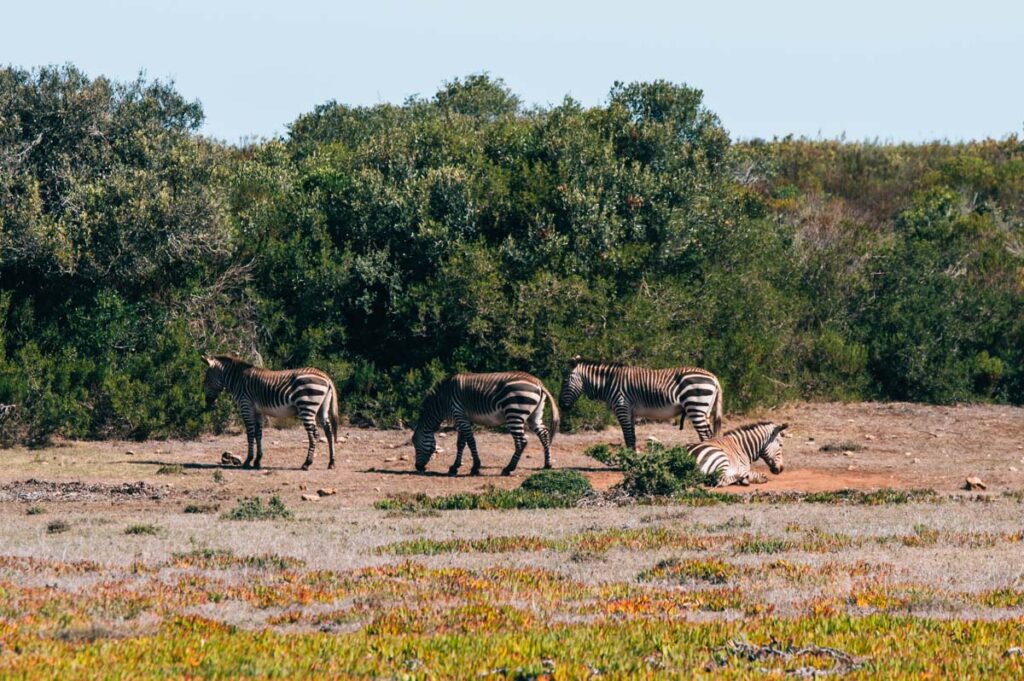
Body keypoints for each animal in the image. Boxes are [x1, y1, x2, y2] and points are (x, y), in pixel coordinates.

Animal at [201, 354, 340, 470]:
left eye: (207, 379)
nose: (208, 401)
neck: (239, 379)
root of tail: (326, 376)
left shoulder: (246, 407)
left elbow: (250, 434)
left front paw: (248, 461)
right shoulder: (258, 411)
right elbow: (258, 434)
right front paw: (258, 461)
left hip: (307, 406)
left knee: (314, 434)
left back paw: (307, 463)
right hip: (322, 408)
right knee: (328, 431)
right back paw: (331, 462)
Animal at [412, 372, 560, 476]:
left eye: (415, 443)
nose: (418, 467)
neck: (444, 399)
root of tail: (539, 383)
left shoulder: (459, 414)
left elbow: (471, 442)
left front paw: (475, 467)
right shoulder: (463, 418)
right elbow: (461, 443)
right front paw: (455, 467)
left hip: (514, 413)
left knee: (521, 442)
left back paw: (508, 469)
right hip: (534, 415)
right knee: (544, 434)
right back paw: (547, 464)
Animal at [558, 356, 723, 450]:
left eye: (565, 381)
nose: (561, 406)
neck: (609, 382)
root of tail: (713, 377)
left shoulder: (622, 408)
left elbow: (628, 437)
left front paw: (629, 462)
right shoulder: (630, 413)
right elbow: (632, 437)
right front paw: (633, 459)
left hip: (696, 408)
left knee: (705, 436)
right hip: (705, 411)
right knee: (710, 435)